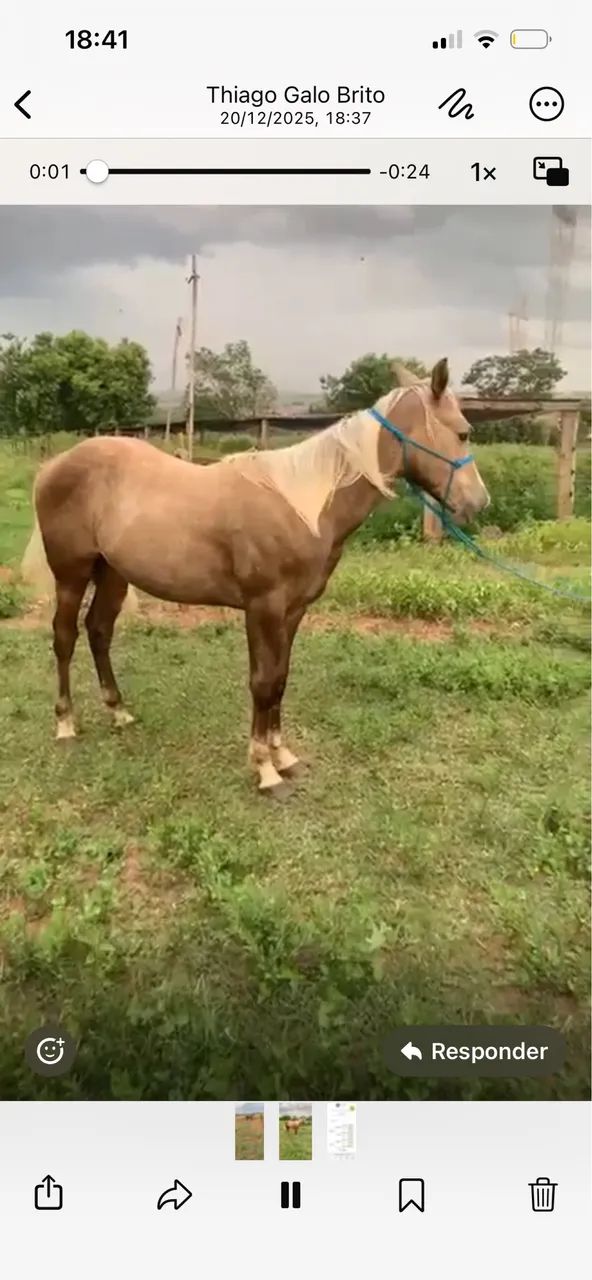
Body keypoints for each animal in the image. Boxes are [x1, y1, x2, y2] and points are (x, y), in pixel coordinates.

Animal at [21, 358, 489, 798]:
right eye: (464, 432)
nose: (479, 503)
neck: (302, 505)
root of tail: (53, 466)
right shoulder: (262, 607)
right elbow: (262, 682)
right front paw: (265, 771)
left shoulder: (293, 611)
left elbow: (279, 678)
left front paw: (284, 757)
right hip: (72, 574)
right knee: (64, 637)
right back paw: (66, 724)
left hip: (113, 574)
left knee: (99, 631)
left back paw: (118, 712)